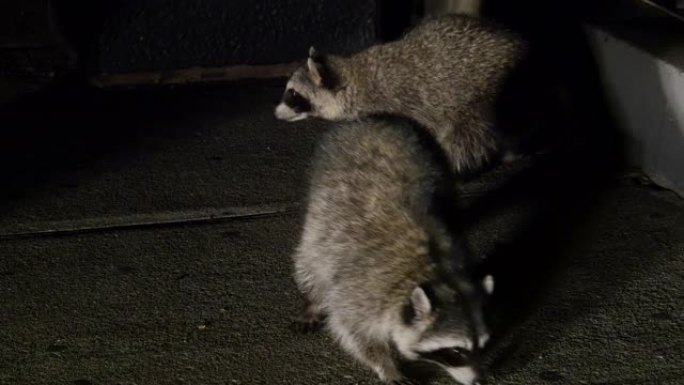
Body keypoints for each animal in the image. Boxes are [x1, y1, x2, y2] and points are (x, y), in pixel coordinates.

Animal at [276, 13, 528, 172]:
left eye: (294, 94)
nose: (275, 113)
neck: (350, 78)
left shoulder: (404, 104)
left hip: (480, 96)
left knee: (467, 137)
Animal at [292, 115, 494, 382]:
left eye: (483, 346)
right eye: (456, 352)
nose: (480, 380)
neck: (433, 270)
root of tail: (376, 118)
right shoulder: (361, 293)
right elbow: (355, 332)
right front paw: (386, 365)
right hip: (321, 199)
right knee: (310, 258)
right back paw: (312, 300)